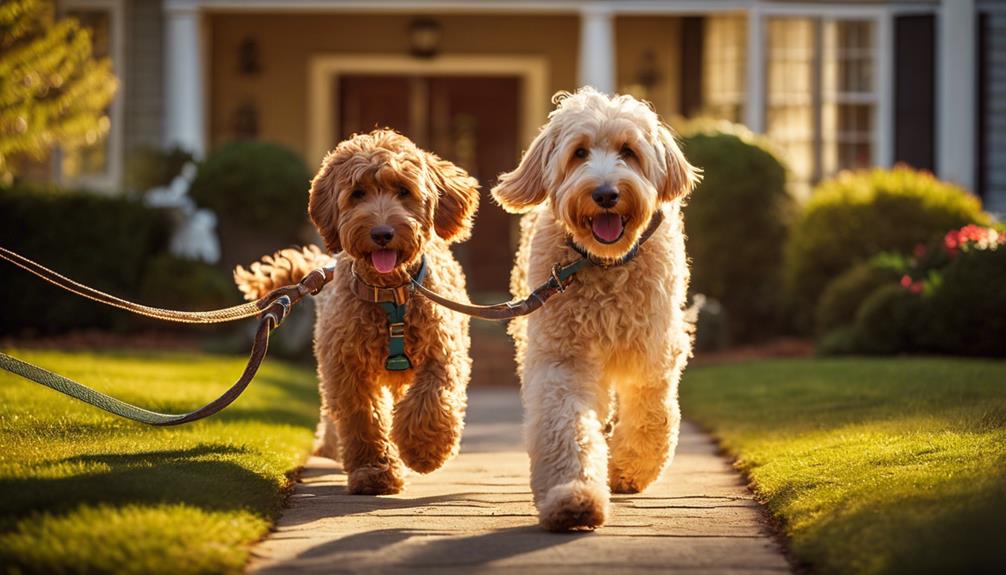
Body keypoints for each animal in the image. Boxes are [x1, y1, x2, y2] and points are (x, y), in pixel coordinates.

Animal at [233, 128, 476, 494]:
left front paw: (423, 450)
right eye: (358, 193)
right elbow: (363, 418)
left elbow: (431, 399)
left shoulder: (442, 352)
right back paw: (331, 447)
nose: (382, 233)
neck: (389, 293)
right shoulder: (347, 369)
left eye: (403, 190)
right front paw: (374, 471)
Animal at [488, 87, 696, 530]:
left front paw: (629, 468)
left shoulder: (652, 355)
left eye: (628, 151)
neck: (604, 265)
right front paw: (573, 495)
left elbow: (654, 417)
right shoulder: (563, 359)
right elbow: (565, 424)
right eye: (579, 152)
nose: (605, 194)